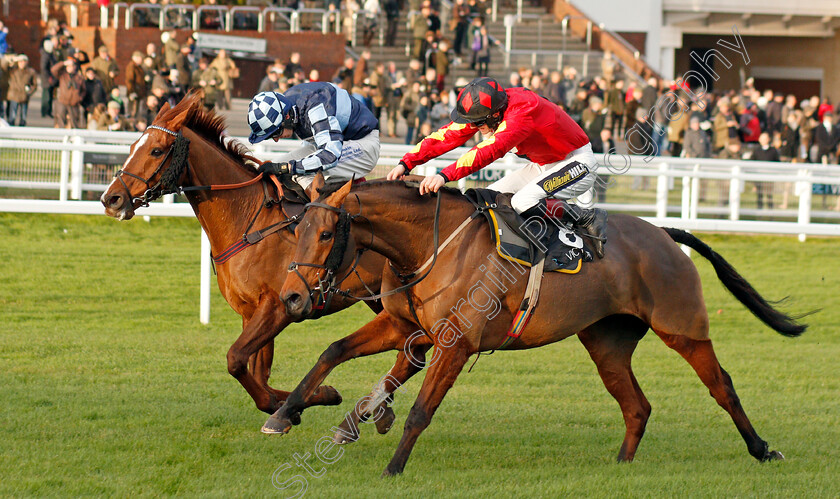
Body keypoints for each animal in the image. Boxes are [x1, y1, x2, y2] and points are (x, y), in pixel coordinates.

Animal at [98, 93, 400, 426]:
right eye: (130, 147)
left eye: (156, 150)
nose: (111, 199)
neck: (248, 222)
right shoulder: (250, 311)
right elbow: (257, 373)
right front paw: (298, 402)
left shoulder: (279, 307)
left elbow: (236, 360)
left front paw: (309, 399)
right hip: (380, 298)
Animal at [272, 176, 804, 476]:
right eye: (296, 229)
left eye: (326, 233)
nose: (291, 296)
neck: (434, 245)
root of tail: (664, 233)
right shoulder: (403, 326)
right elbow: (333, 350)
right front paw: (285, 412)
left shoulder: (454, 345)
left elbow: (421, 410)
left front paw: (394, 468)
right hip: (607, 344)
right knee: (637, 405)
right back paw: (622, 465)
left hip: (684, 329)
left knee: (722, 386)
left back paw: (762, 450)